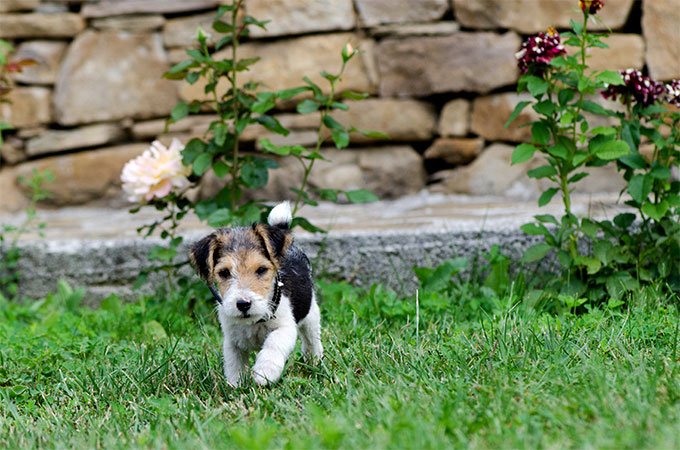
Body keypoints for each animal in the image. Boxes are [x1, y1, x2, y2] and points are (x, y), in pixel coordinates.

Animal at [187, 201, 322, 386]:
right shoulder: (232, 340)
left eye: (261, 269)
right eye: (224, 273)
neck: (253, 322)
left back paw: (314, 361)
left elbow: (273, 343)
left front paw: (265, 372)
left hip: (311, 316)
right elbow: (234, 364)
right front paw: (235, 386)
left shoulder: (285, 327)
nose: (243, 304)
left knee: (312, 340)